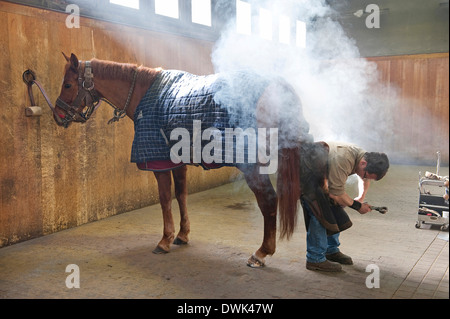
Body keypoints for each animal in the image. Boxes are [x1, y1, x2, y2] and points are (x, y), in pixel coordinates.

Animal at [54, 52, 312, 268]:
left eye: (68, 84)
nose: (57, 114)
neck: (144, 93)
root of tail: (276, 87)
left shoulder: (158, 163)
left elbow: (165, 199)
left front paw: (165, 240)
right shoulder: (176, 163)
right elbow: (181, 195)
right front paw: (182, 235)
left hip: (251, 165)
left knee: (268, 201)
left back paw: (261, 253)